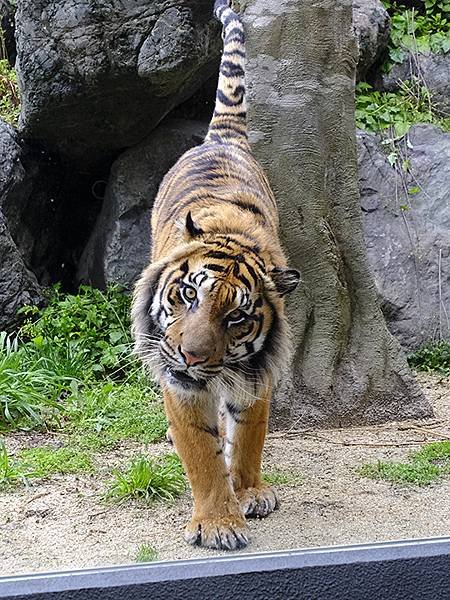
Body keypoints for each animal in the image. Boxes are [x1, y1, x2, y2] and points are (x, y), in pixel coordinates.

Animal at [130, 0, 298, 552]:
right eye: (187, 294)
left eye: (237, 319)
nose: (191, 356)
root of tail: (220, 139)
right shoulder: (180, 386)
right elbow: (202, 455)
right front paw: (219, 522)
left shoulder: (257, 372)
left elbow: (247, 434)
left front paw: (248, 493)